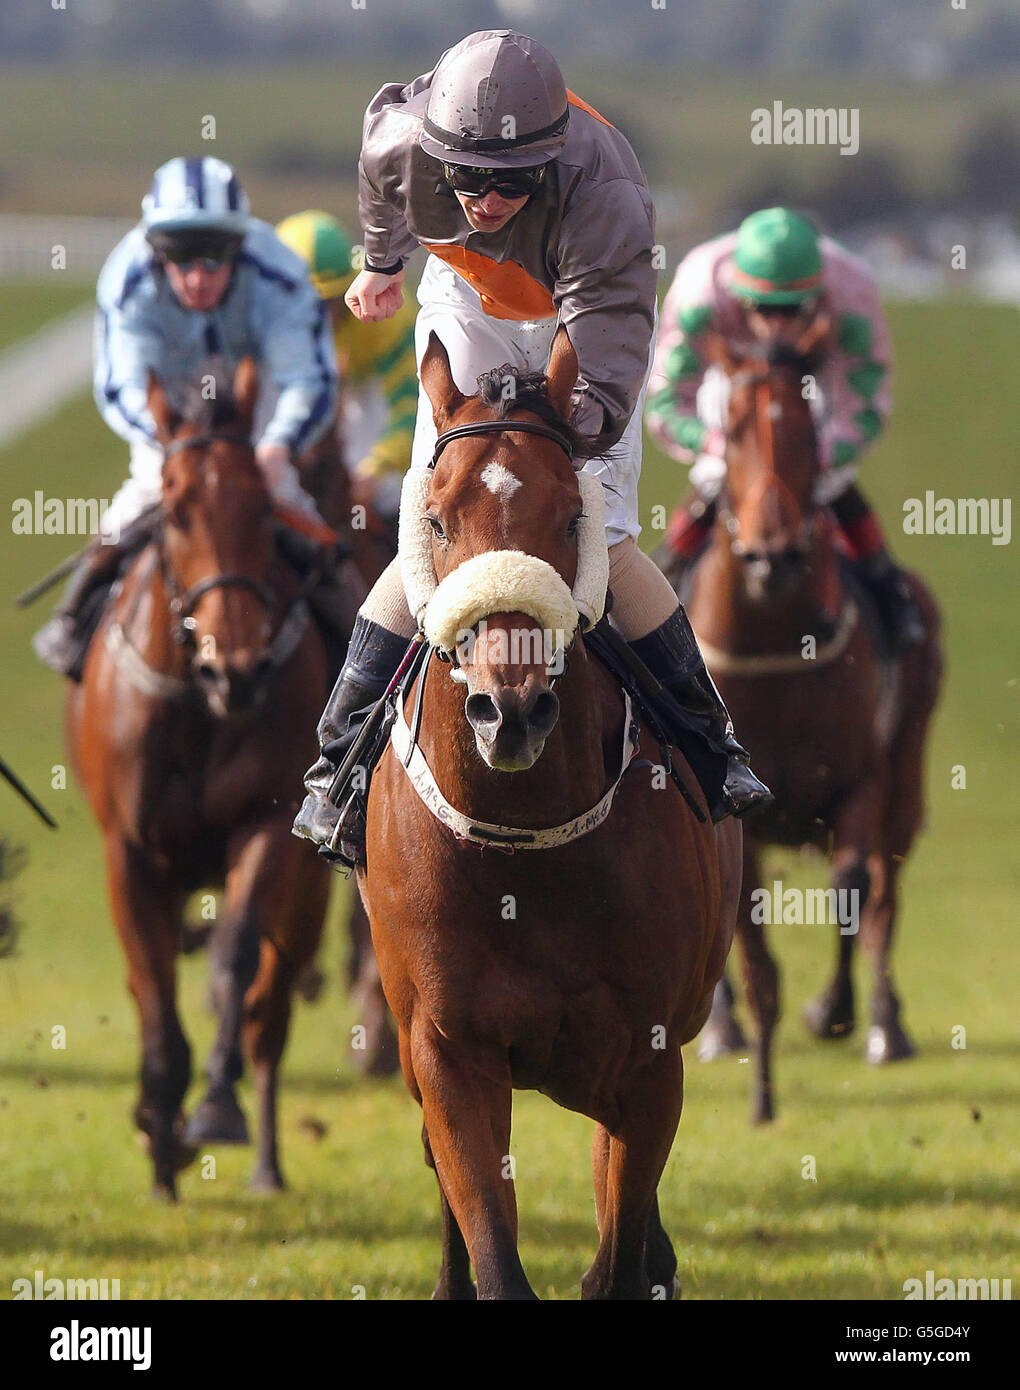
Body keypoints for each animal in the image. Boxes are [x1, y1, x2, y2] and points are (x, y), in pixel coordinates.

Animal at [68, 361, 332, 1195]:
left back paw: (269, 1164)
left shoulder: (268, 826)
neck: (197, 704)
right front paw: (160, 1131)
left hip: (309, 894)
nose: (237, 668)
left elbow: (236, 960)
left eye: (262, 506)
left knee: (269, 1011)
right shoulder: (129, 853)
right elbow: (153, 994)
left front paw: (213, 1106)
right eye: (176, 510)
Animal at [355, 330, 739, 1295]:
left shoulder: (648, 1062)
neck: (523, 851)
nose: (512, 710)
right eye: (437, 520)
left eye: (571, 517)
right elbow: (492, 1246)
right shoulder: (447, 1051)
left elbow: (620, 1251)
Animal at [675, 322, 944, 1117]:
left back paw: (885, 1025)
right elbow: (744, 922)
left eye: (808, 431)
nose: (775, 557)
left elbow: (854, 882)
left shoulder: (859, 779)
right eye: (732, 429)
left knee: (884, 887)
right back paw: (723, 1028)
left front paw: (837, 1012)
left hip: (907, 774)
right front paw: (756, 1069)